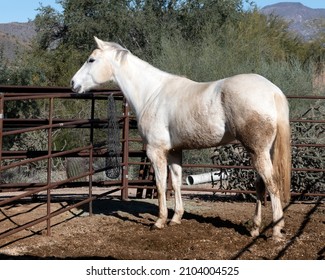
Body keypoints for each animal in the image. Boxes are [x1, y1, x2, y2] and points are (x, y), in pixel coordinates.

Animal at [71, 37, 292, 241]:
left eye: (91, 60)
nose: (73, 84)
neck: (152, 93)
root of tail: (273, 91)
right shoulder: (175, 151)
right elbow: (176, 182)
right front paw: (176, 218)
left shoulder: (156, 151)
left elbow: (161, 185)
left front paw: (159, 221)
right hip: (262, 152)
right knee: (260, 186)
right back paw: (254, 228)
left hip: (257, 151)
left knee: (272, 184)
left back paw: (276, 232)